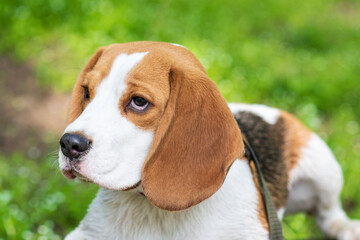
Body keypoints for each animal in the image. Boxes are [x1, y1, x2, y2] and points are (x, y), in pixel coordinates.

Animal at [59, 41, 360, 240]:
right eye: (86, 92)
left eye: (139, 102)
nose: (69, 144)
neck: (153, 210)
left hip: (325, 169)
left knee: (329, 213)